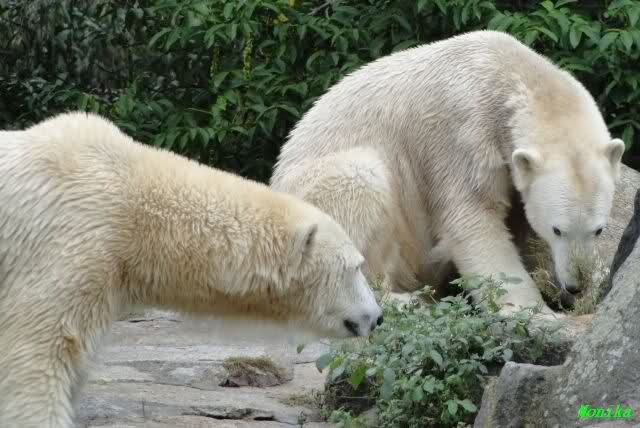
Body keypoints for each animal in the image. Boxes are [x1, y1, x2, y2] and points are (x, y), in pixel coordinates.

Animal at [270, 30, 626, 316]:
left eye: (598, 230)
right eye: (557, 229)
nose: (576, 285)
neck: (506, 73)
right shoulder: (461, 136)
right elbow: (472, 219)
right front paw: (533, 310)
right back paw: (407, 298)